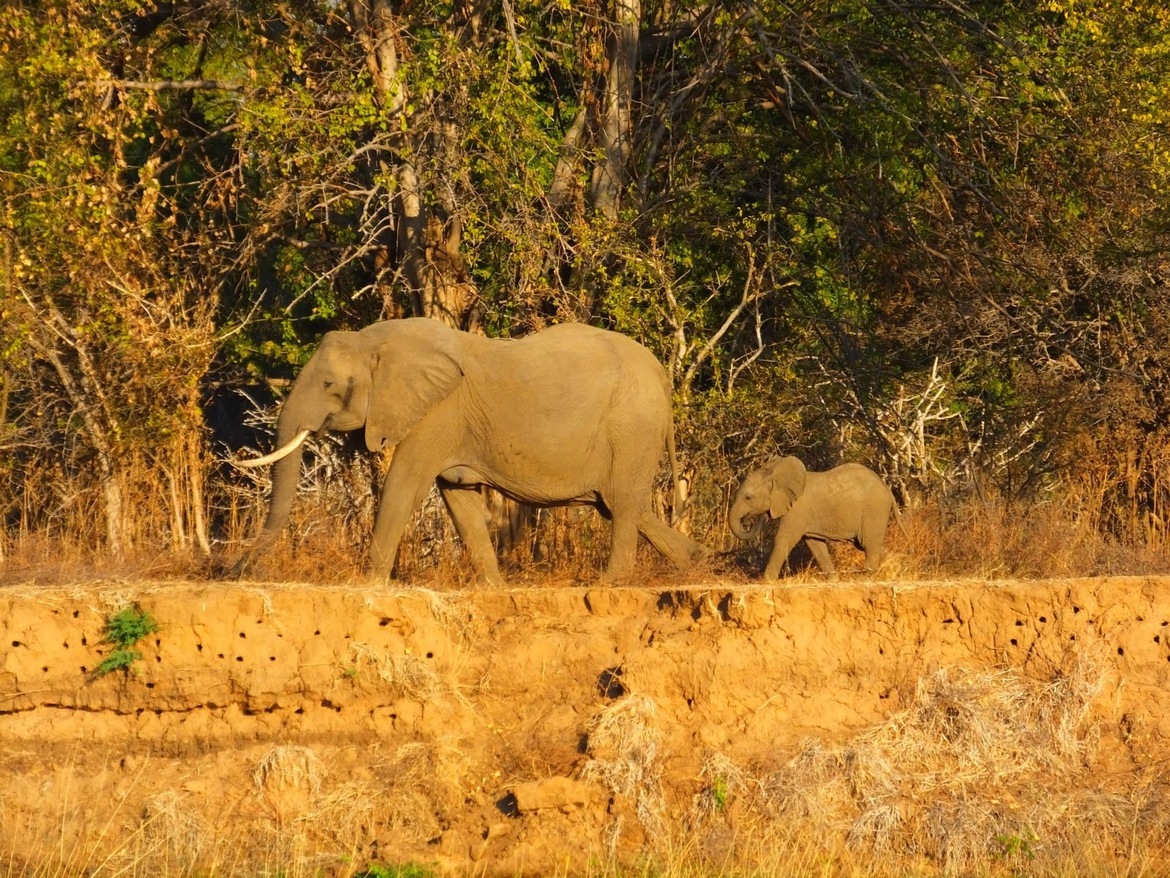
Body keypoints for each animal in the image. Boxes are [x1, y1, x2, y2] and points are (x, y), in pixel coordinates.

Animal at [232, 317, 704, 584]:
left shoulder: (437, 414)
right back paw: (697, 562)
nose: (234, 569)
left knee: (622, 504)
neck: (373, 340)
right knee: (625, 504)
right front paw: (494, 589)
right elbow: (459, 501)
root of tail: (662, 375)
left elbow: (404, 484)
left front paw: (365, 586)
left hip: (631, 427)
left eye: (330, 385)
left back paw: (610, 584)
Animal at [728, 455, 901, 580]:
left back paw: (866, 577)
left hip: (874, 510)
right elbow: (815, 544)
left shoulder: (797, 509)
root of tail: (887, 488)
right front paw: (833, 581)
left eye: (748, 498)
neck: (775, 475)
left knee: (869, 543)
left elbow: (784, 539)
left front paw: (765, 581)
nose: (751, 519)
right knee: (870, 544)